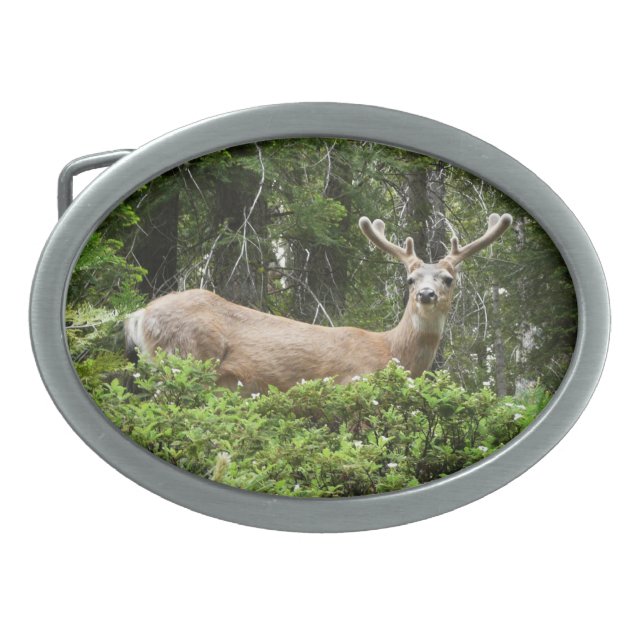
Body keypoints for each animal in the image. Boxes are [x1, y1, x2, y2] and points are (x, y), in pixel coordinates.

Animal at [124, 213, 512, 392]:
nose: (426, 294)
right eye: (409, 279)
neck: (391, 352)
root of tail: (139, 314)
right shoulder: (352, 384)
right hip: (185, 355)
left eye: (448, 279)